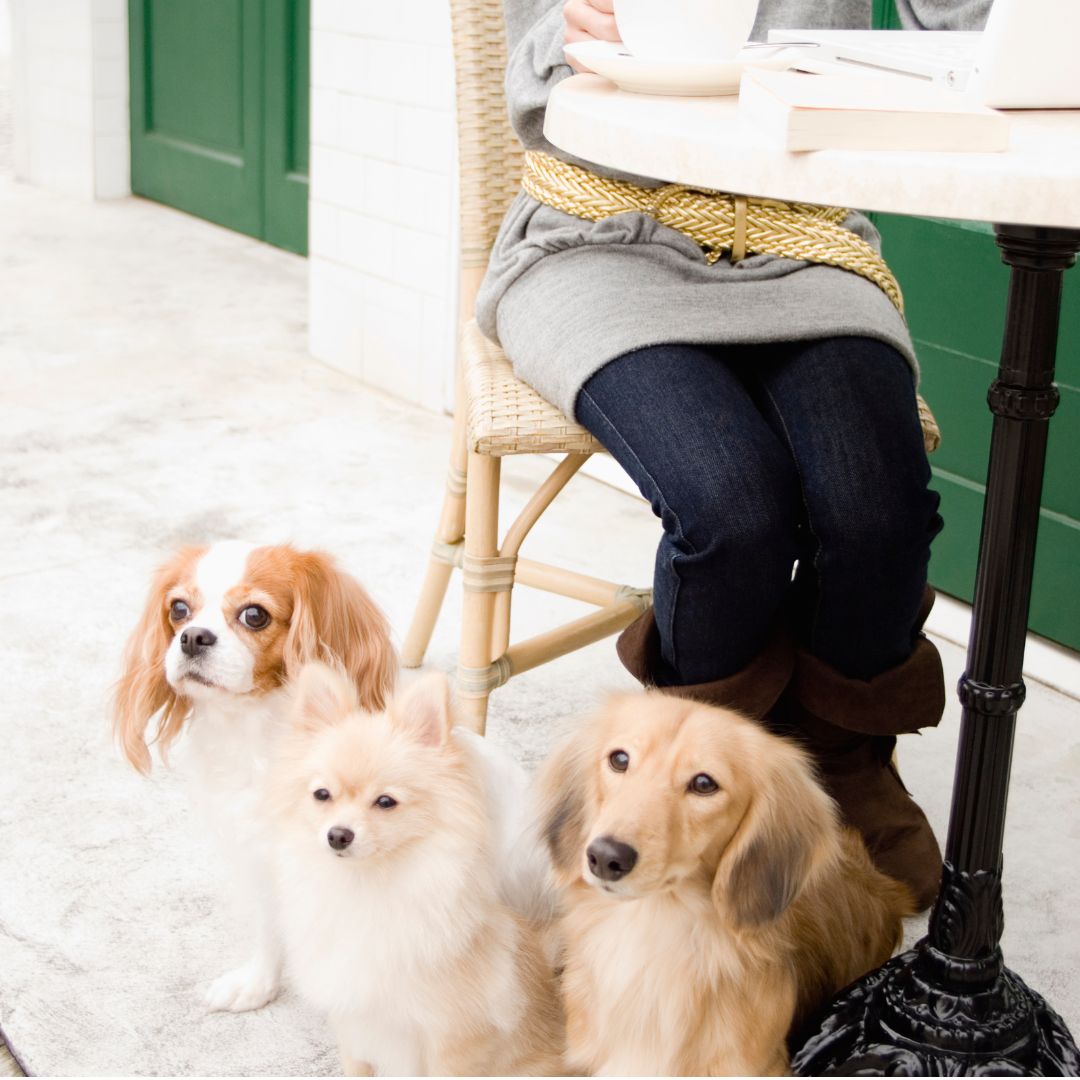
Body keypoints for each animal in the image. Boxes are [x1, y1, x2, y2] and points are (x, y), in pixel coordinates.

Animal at [111, 540, 397, 1010]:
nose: (192, 637)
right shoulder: (261, 858)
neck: (253, 736)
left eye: (254, 615)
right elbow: (270, 925)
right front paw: (259, 983)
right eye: (179, 609)